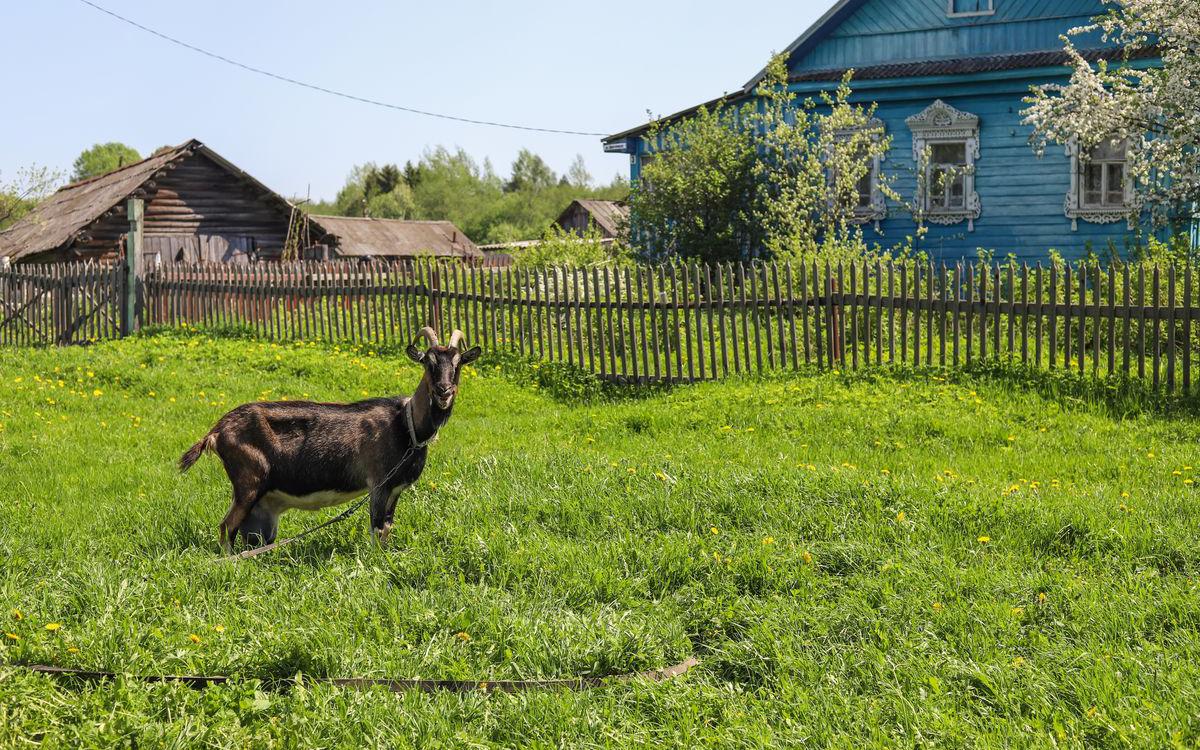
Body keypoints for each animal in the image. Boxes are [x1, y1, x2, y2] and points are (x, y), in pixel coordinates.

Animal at [177, 326, 477, 549]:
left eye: (458, 363)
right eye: (428, 362)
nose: (443, 390)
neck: (405, 425)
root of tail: (217, 430)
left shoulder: (395, 489)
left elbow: (387, 529)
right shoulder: (378, 484)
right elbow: (376, 530)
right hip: (248, 481)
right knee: (226, 526)